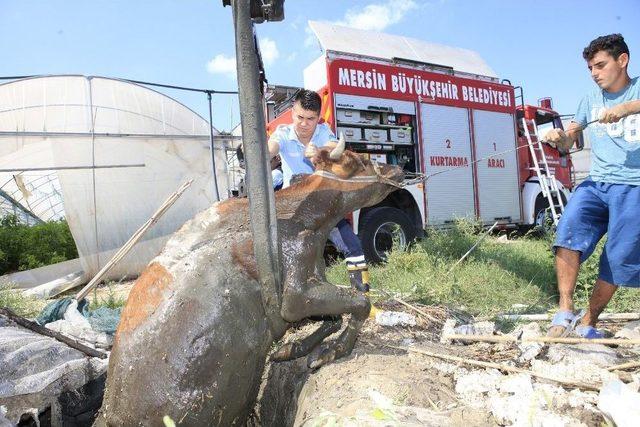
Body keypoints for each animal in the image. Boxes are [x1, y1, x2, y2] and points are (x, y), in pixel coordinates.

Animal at [97, 139, 402, 426]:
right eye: (362, 160)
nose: (397, 169)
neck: (310, 220)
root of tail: (111, 412)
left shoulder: (312, 278)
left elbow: (335, 317)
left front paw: (291, 349)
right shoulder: (295, 294)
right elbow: (359, 302)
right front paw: (331, 351)